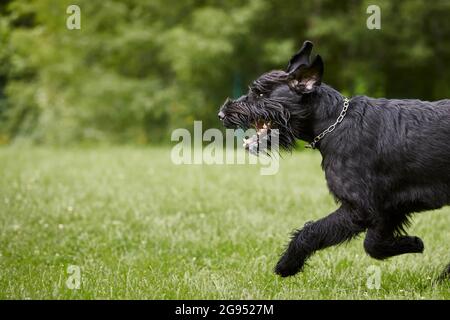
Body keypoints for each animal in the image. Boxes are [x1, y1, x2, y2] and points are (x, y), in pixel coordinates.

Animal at [218, 40, 450, 280]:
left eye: (261, 94)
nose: (222, 114)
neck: (334, 123)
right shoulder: (389, 207)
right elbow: (373, 244)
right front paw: (412, 243)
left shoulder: (360, 208)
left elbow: (312, 232)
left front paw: (287, 265)